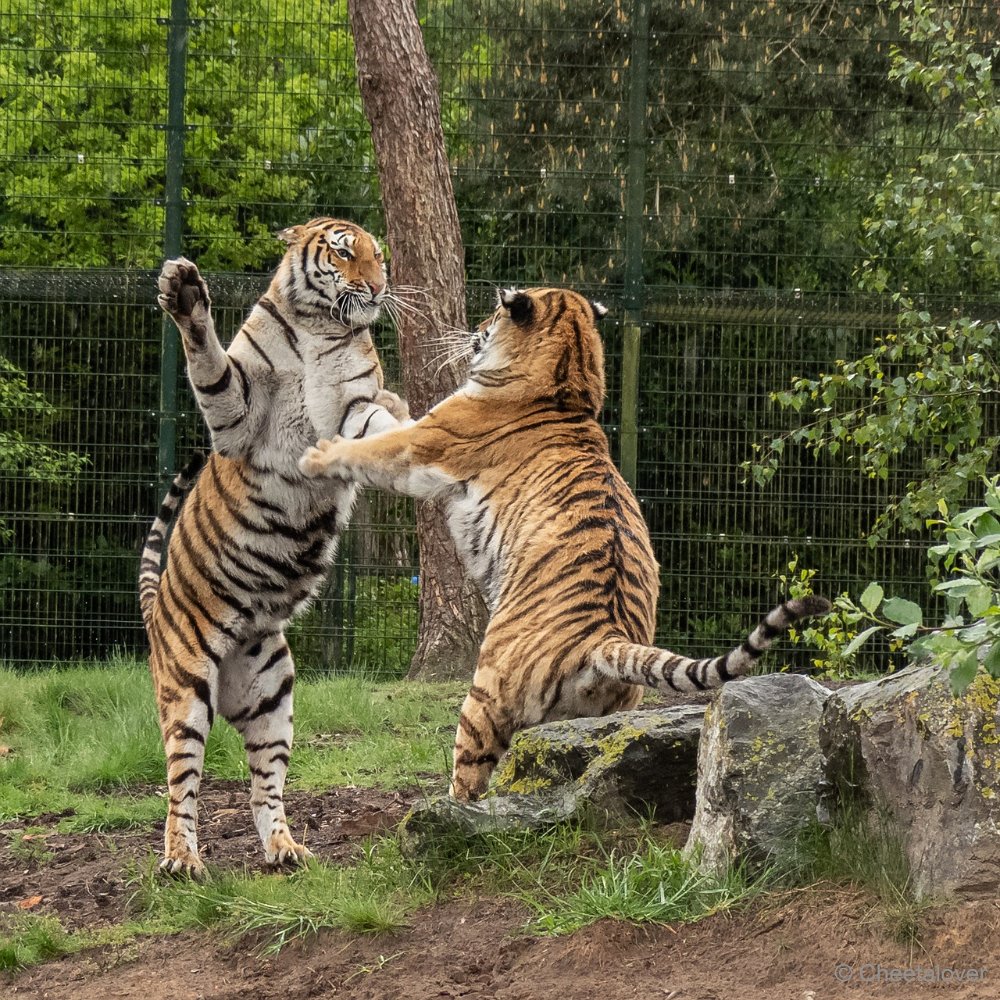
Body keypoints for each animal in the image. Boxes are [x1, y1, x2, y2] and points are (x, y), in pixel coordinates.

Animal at [139, 219, 408, 876]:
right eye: (344, 252)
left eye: (380, 256)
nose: (377, 286)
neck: (320, 328)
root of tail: (156, 613)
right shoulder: (238, 415)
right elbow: (211, 368)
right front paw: (186, 294)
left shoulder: (351, 409)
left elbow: (381, 424)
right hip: (186, 689)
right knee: (180, 787)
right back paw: (182, 861)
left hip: (274, 693)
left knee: (265, 787)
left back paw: (284, 849)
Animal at [300, 286, 832, 800]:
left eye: (494, 314)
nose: (475, 328)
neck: (567, 384)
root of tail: (603, 638)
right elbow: (382, 421)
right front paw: (380, 403)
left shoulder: (426, 444)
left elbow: (374, 445)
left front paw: (319, 455)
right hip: (588, 724)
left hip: (485, 695)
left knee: (470, 778)